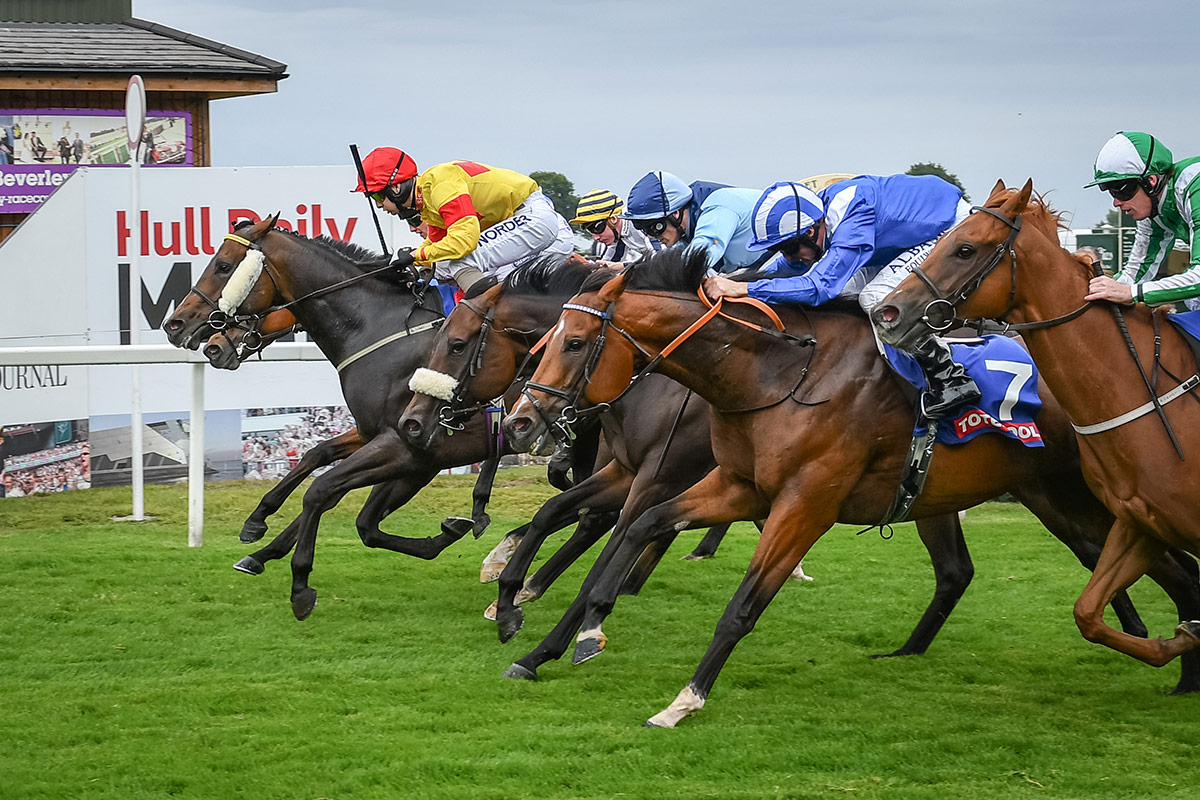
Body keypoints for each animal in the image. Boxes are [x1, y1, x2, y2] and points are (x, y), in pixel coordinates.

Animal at [160, 215, 541, 619]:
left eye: (223, 266)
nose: (177, 325)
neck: (377, 327)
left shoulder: (413, 450)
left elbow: (337, 500)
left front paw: (295, 577)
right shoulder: (372, 432)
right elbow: (319, 460)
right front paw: (258, 533)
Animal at [501, 246, 1200, 727]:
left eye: (576, 342)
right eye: (542, 341)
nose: (520, 421)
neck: (776, 374)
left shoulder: (803, 504)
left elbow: (739, 605)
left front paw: (683, 700)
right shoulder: (735, 486)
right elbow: (637, 531)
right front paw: (569, 634)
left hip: (1090, 503)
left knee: (1168, 568)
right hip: (1041, 502)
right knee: (973, 572)